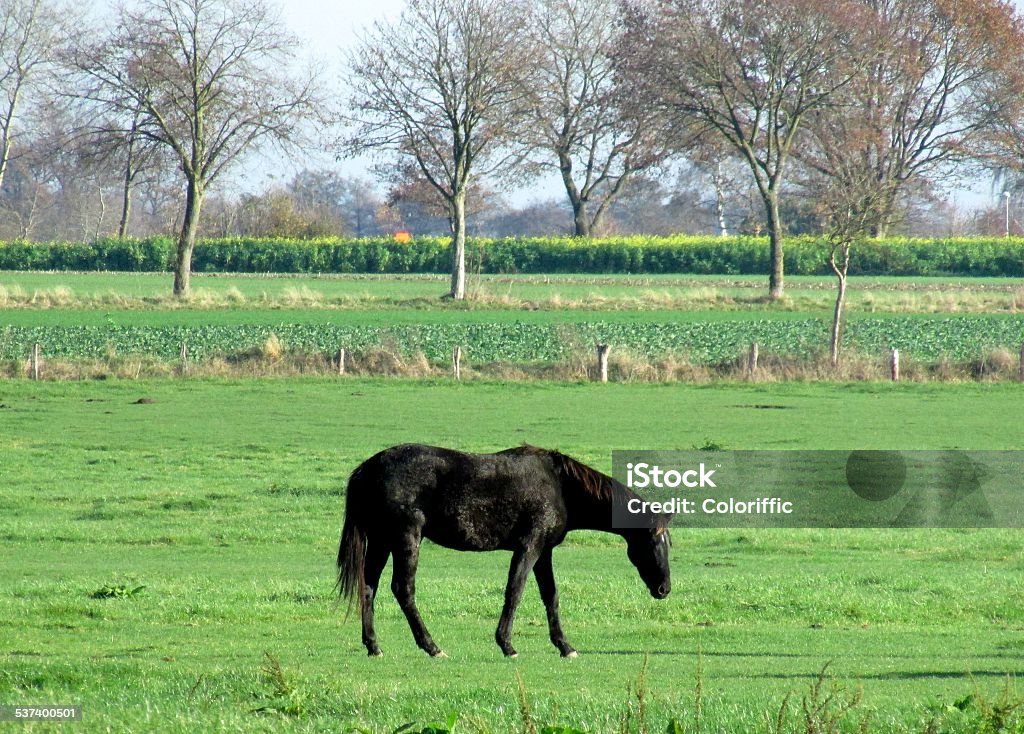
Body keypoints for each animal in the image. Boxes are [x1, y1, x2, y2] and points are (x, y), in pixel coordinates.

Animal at [335, 444, 671, 655]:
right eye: (655, 541)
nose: (664, 588)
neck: (560, 486)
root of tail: (367, 469)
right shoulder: (529, 546)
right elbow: (515, 591)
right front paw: (506, 645)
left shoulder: (544, 552)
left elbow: (551, 596)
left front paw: (565, 646)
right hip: (406, 539)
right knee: (403, 589)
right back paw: (432, 647)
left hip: (381, 542)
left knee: (369, 587)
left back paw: (374, 646)